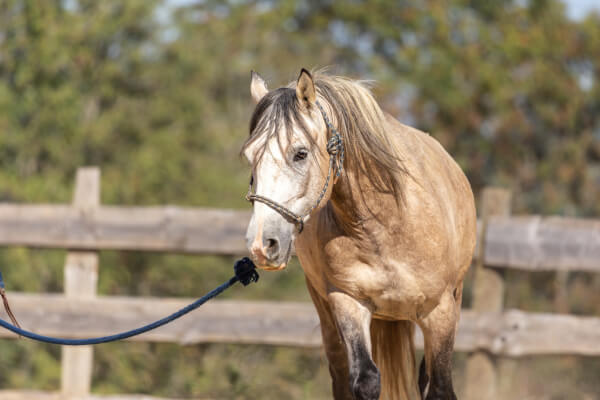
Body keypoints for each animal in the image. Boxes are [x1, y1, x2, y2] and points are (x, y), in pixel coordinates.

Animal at [241, 69, 476, 400]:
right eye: (251, 156)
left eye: (300, 154)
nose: (262, 245)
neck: (386, 225)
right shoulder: (348, 301)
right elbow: (365, 381)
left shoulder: (440, 312)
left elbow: (441, 389)